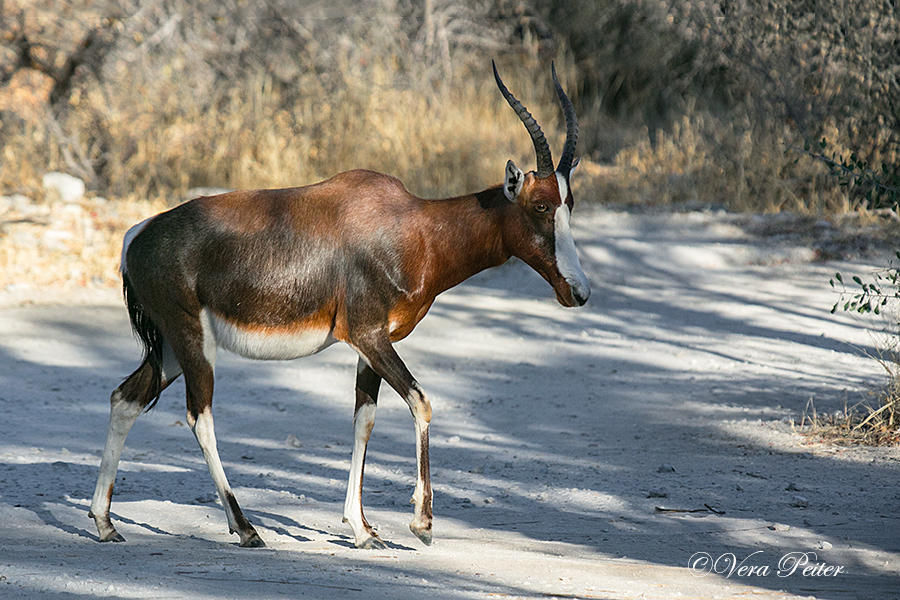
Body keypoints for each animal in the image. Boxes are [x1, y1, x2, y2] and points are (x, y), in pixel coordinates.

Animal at [91, 63, 592, 552]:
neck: (413, 226)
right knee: (200, 417)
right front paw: (421, 524)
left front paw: (363, 530)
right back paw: (246, 529)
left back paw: (106, 523)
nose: (579, 291)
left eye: (570, 204)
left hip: (172, 347)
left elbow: (364, 420)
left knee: (125, 398)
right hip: (192, 341)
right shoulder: (369, 335)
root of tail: (137, 236)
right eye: (540, 205)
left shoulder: (371, 345)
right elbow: (421, 402)